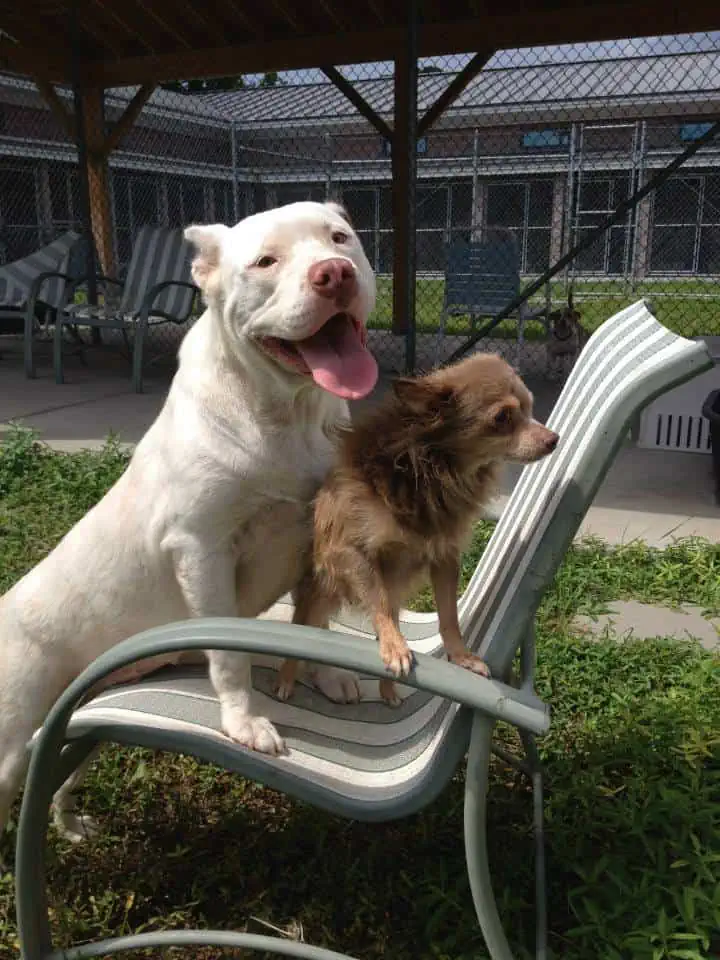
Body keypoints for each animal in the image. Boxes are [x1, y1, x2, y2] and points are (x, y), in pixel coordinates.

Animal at [0, 199, 380, 836]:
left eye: (339, 238)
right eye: (266, 261)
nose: (334, 274)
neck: (285, 414)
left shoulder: (315, 536)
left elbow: (314, 622)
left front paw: (327, 676)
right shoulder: (202, 550)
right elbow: (228, 656)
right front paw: (244, 723)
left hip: (77, 721)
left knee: (60, 772)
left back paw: (72, 825)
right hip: (10, 738)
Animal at [276, 352, 556, 704]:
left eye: (530, 407)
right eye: (502, 417)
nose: (554, 440)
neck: (431, 472)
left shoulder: (445, 557)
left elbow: (449, 615)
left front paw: (460, 656)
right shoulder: (353, 552)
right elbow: (380, 606)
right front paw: (396, 648)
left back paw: (388, 690)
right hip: (321, 593)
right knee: (303, 626)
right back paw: (286, 682)